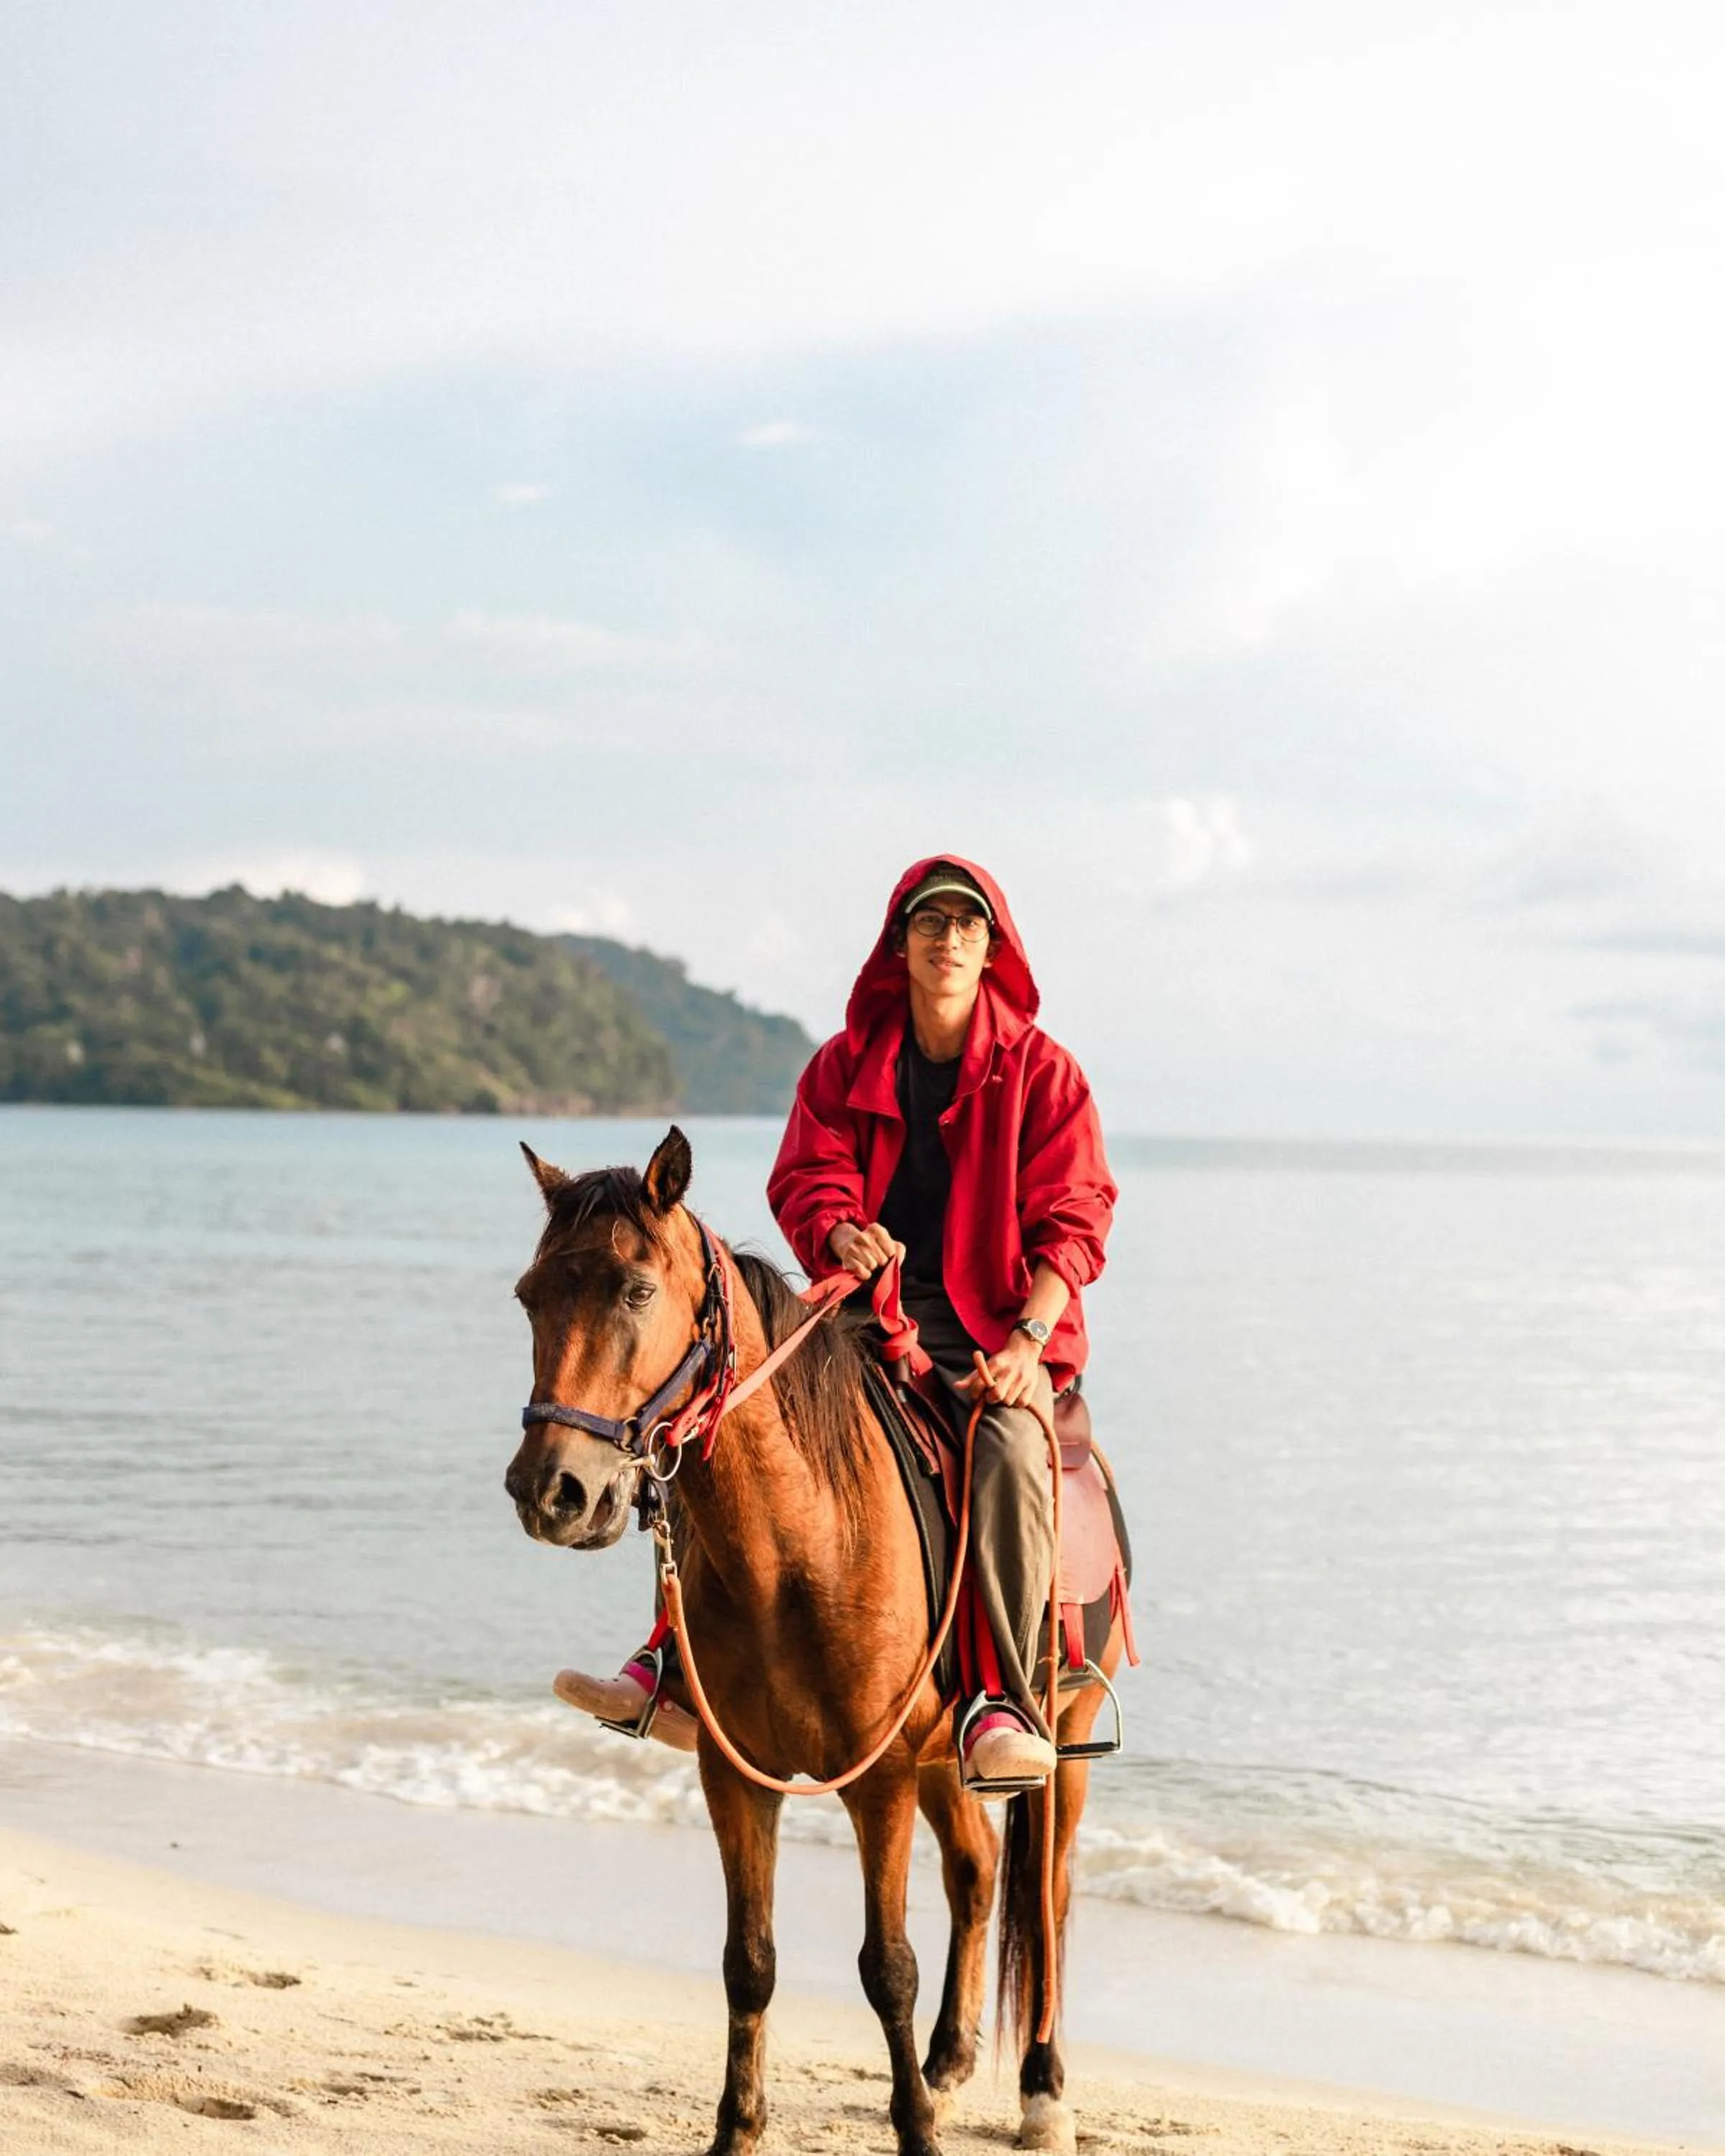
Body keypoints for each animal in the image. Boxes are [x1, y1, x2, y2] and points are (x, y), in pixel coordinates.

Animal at [504, 1126, 1126, 2156]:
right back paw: (949, 2062)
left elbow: (888, 1967)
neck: (799, 1545)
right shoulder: (738, 1773)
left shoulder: (878, 1778)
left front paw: (918, 2135)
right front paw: (737, 2133)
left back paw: (1043, 2091)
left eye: (636, 1291)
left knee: (1047, 1895)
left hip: (1057, 1739)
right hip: (939, 1761)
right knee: (975, 1872)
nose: (552, 1490)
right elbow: (748, 1961)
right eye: (530, 1295)